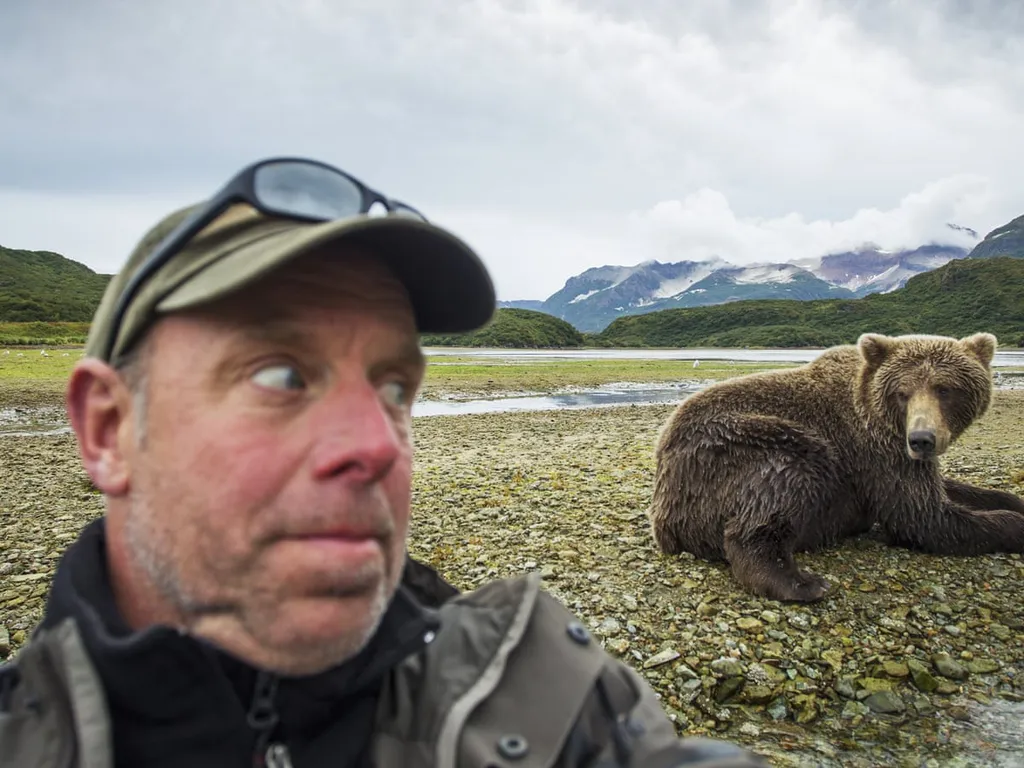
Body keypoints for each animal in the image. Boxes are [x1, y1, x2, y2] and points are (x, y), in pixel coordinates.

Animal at [647, 333, 1024, 606]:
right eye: (902, 392)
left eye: (945, 389)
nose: (922, 439)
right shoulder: (874, 449)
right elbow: (924, 517)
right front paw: (1014, 524)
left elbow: (950, 490)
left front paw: (1010, 500)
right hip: (735, 448)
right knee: (790, 478)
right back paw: (802, 583)